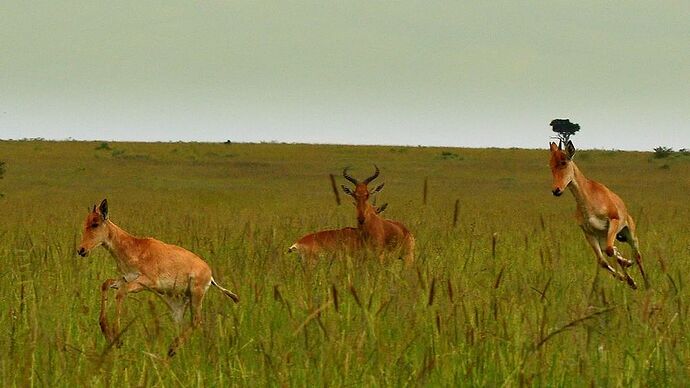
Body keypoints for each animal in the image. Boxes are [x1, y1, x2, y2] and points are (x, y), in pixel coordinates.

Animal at [77, 200, 239, 358]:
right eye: (85, 222)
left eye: (95, 223)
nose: (81, 250)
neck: (136, 246)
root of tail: (210, 274)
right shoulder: (126, 279)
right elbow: (106, 284)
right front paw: (107, 332)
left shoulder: (146, 282)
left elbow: (121, 293)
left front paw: (118, 339)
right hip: (178, 301)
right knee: (181, 323)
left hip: (196, 295)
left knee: (197, 321)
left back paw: (172, 349)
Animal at [548, 142, 644, 288]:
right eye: (550, 164)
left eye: (564, 162)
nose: (556, 190)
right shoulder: (589, 233)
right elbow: (602, 260)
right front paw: (627, 278)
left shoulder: (614, 220)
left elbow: (610, 251)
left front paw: (627, 264)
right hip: (604, 237)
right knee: (612, 250)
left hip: (629, 234)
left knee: (637, 255)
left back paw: (646, 283)